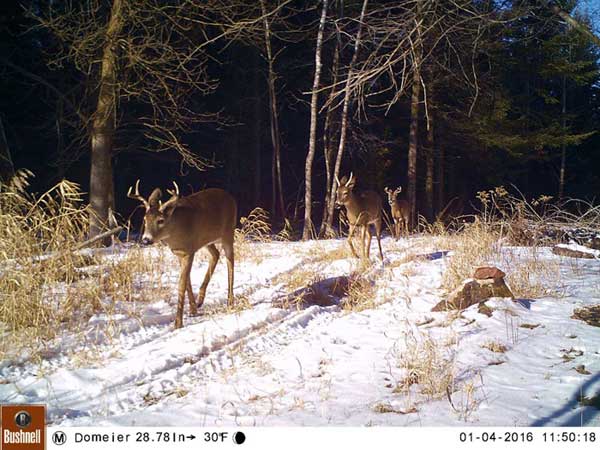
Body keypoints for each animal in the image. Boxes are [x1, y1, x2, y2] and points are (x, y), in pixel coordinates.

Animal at [128, 178, 237, 326]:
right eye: (145, 219)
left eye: (160, 220)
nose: (146, 240)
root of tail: (230, 197)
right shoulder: (180, 253)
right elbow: (187, 282)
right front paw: (192, 310)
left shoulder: (189, 251)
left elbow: (181, 285)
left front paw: (178, 323)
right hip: (206, 240)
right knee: (215, 254)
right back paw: (200, 300)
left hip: (228, 233)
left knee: (230, 262)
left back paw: (230, 301)